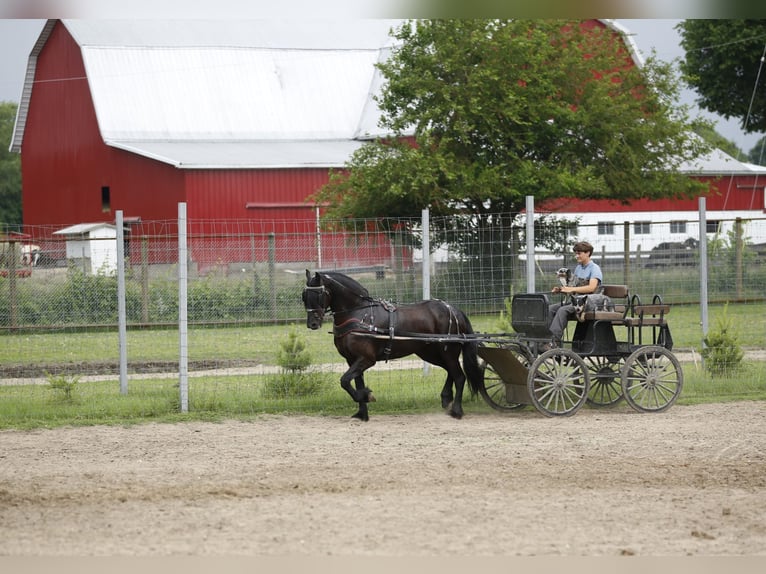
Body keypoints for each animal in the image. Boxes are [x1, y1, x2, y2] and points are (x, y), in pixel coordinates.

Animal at [304, 270, 484, 424]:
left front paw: (367, 397)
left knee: (459, 376)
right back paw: (446, 398)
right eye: (304, 296)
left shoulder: (366, 359)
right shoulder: (352, 360)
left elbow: (344, 381)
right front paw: (363, 412)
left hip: (448, 352)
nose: (312, 324)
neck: (359, 315)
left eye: (318, 294)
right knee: (450, 372)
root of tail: (454, 310)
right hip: (430, 352)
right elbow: (356, 383)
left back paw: (457, 411)